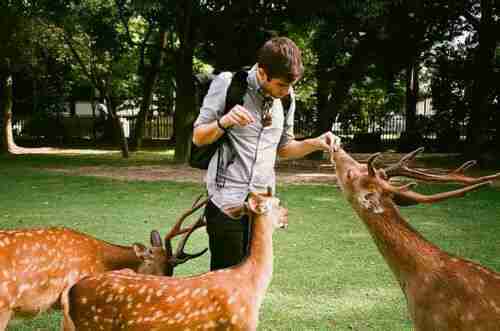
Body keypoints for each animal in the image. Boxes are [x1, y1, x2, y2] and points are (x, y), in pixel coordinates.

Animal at [61, 189, 290, 331]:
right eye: (278, 203)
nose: (288, 216)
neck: (252, 286)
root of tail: (71, 291)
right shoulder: (240, 324)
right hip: (94, 324)